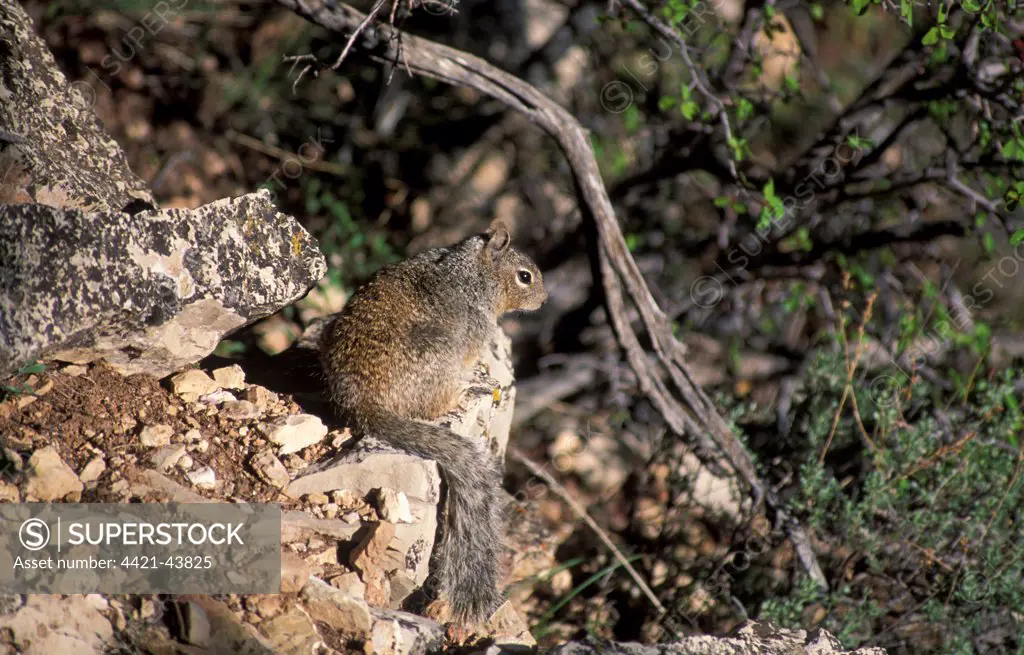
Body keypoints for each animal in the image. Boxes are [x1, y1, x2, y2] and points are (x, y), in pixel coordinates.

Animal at [319, 219, 548, 622]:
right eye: (525, 276)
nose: (545, 300)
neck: (471, 271)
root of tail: (363, 404)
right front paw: (482, 371)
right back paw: (469, 386)